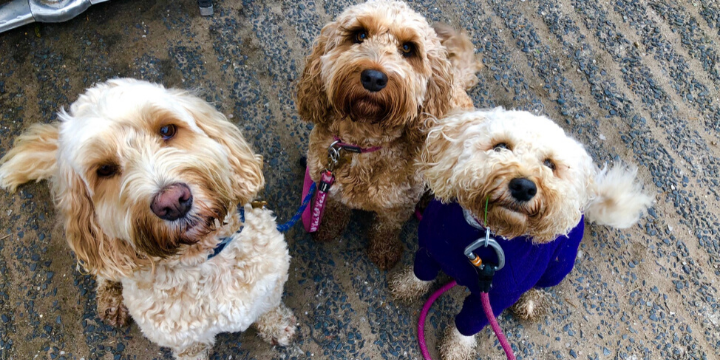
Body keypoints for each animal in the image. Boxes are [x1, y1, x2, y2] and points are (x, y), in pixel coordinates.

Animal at [0, 79, 296, 360]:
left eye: (167, 130)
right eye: (104, 169)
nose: (172, 202)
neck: (205, 259)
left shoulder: (270, 286)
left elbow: (268, 309)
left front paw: (277, 326)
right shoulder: (180, 337)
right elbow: (192, 349)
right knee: (105, 273)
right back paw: (111, 299)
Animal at [296, 0, 480, 268]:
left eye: (408, 48)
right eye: (360, 35)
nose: (373, 77)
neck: (363, 143)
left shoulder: (398, 205)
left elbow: (387, 228)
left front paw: (384, 251)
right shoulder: (329, 183)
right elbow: (335, 207)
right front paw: (327, 226)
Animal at [390, 108, 656, 358]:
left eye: (550, 164)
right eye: (500, 146)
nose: (524, 186)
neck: (488, 235)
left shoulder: (496, 296)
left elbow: (469, 324)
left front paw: (457, 348)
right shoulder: (430, 250)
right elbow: (420, 274)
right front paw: (406, 287)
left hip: (561, 262)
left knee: (542, 284)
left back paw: (530, 302)